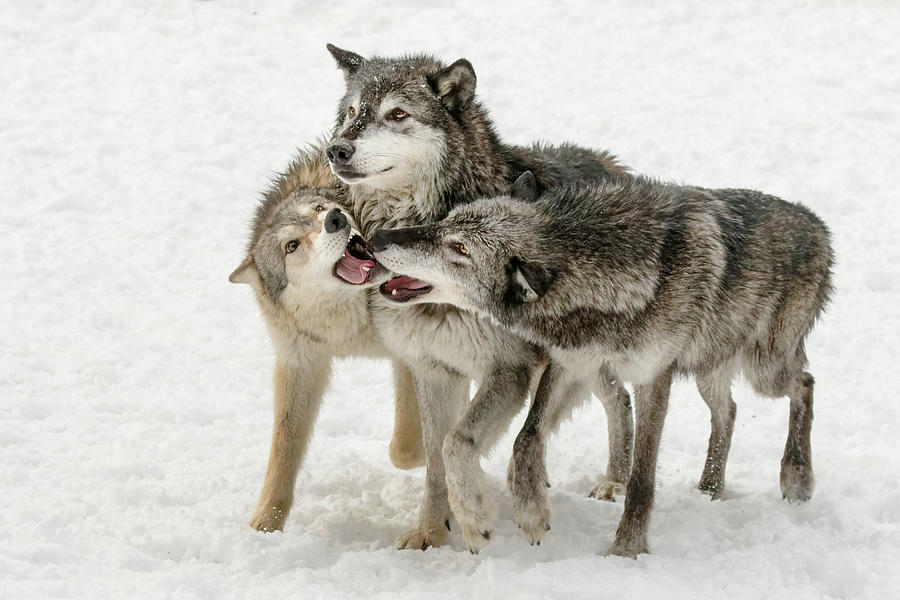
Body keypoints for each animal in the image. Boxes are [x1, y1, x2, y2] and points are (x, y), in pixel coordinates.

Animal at [229, 144, 426, 533]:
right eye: (291, 246)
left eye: (319, 210)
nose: (335, 218)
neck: (354, 327)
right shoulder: (300, 364)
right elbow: (282, 452)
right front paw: (264, 526)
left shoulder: (410, 352)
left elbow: (405, 450)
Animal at [324, 44, 632, 552]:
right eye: (351, 113)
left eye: (398, 114)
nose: (336, 149)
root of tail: (612, 164)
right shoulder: (433, 368)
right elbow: (435, 458)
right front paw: (431, 529)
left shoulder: (509, 368)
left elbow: (459, 442)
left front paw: (476, 519)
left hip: (573, 360)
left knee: (606, 402)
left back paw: (608, 484)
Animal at [370, 171, 834, 556]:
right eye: (445, 222)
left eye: (460, 249)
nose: (377, 237)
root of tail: (817, 224)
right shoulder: (569, 362)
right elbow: (527, 437)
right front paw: (532, 513)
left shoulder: (653, 377)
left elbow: (643, 478)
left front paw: (627, 548)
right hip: (704, 370)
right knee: (729, 410)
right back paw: (710, 488)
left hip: (763, 369)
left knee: (806, 383)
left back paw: (796, 477)